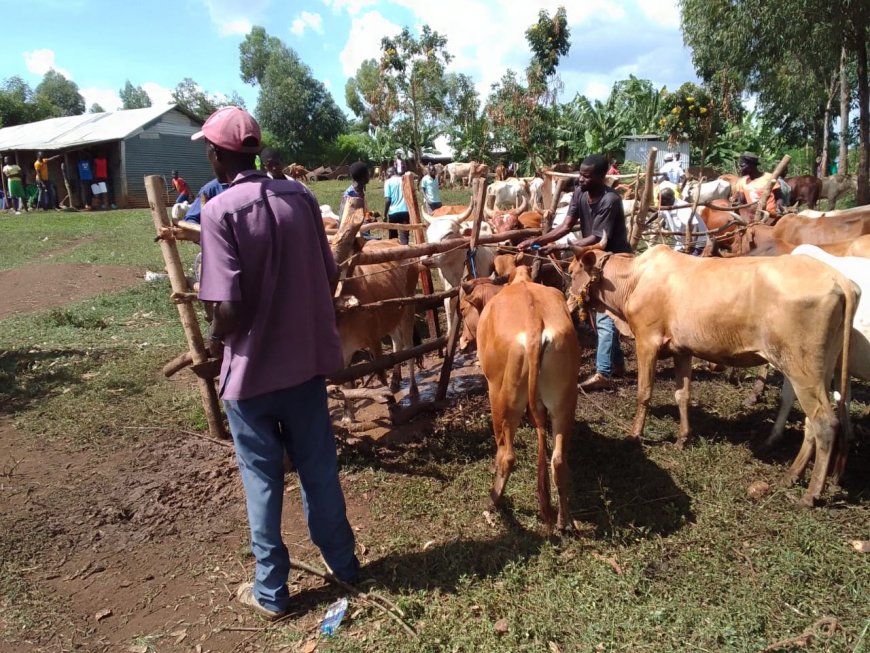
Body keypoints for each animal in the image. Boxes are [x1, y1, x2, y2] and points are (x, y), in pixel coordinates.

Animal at [460, 268, 584, 528]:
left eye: (462, 309)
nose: (462, 342)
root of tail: (535, 323)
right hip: (564, 401)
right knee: (558, 460)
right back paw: (563, 519)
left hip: (501, 397)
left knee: (507, 455)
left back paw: (493, 500)